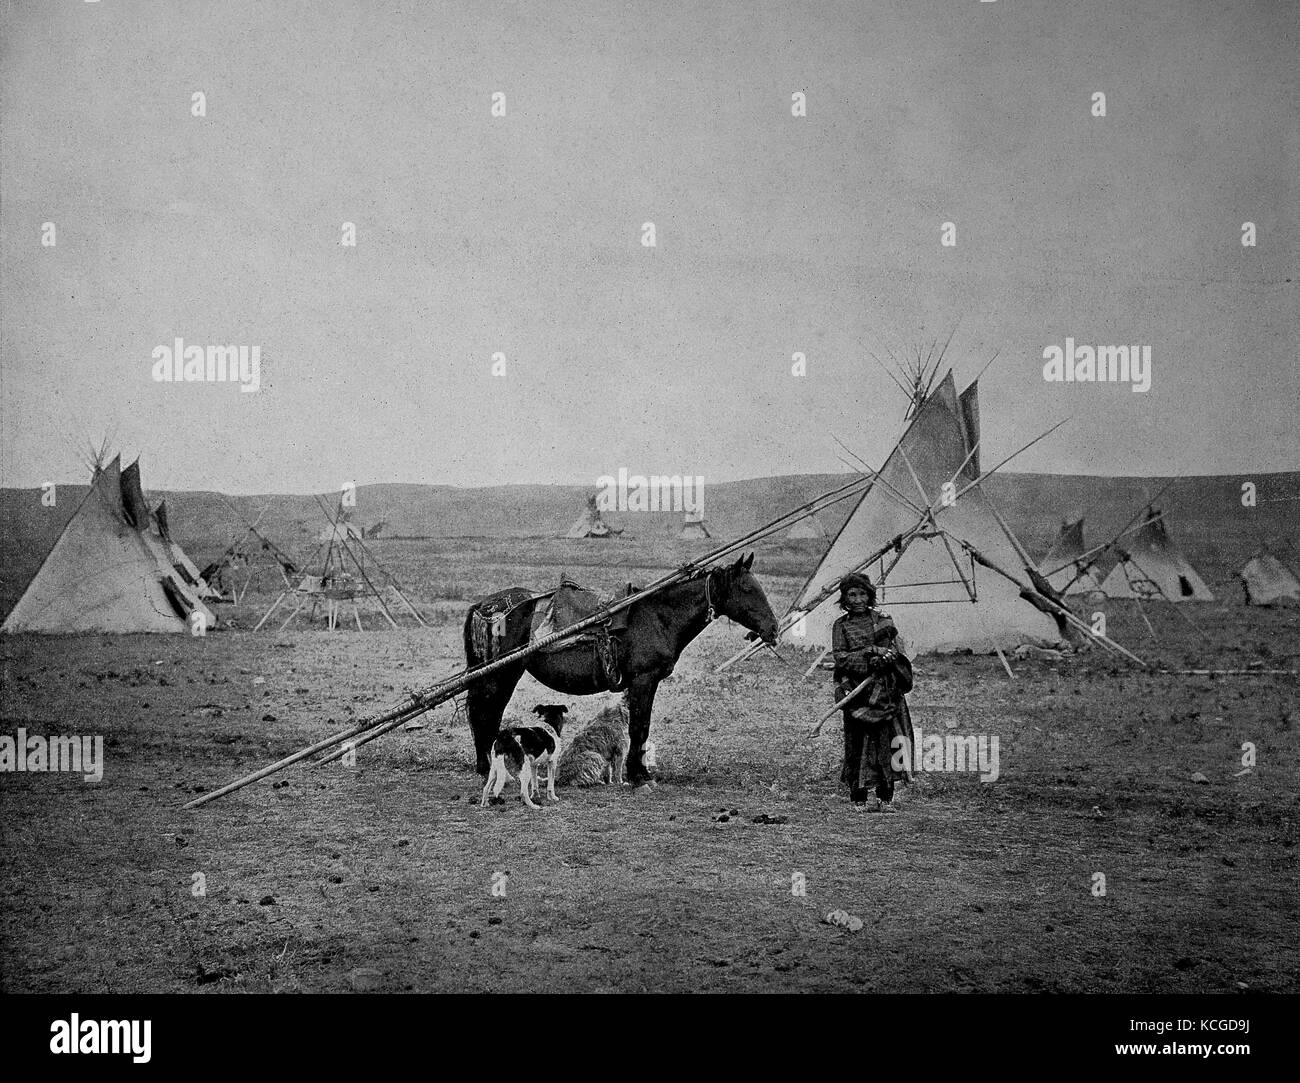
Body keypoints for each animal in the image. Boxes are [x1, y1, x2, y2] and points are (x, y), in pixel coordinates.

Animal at [462, 553, 774, 780]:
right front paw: (638, 774)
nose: (772, 628)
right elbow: (639, 726)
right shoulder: (643, 680)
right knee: (485, 714)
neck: (658, 617)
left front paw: (639, 770)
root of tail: (484, 606)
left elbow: (642, 725)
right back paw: (486, 765)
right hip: (501, 675)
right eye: (747, 588)